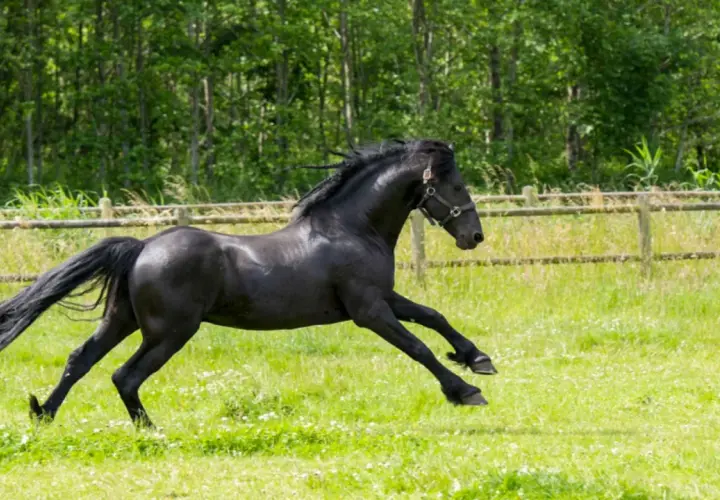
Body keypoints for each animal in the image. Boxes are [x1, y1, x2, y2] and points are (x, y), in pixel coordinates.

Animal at [0, 138, 496, 428]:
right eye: (455, 185)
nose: (475, 236)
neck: (352, 229)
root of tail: (142, 248)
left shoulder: (382, 297)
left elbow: (434, 316)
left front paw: (478, 359)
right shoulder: (368, 311)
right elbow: (419, 347)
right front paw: (465, 391)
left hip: (123, 320)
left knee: (79, 359)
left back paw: (43, 414)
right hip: (169, 332)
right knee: (125, 375)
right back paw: (151, 432)